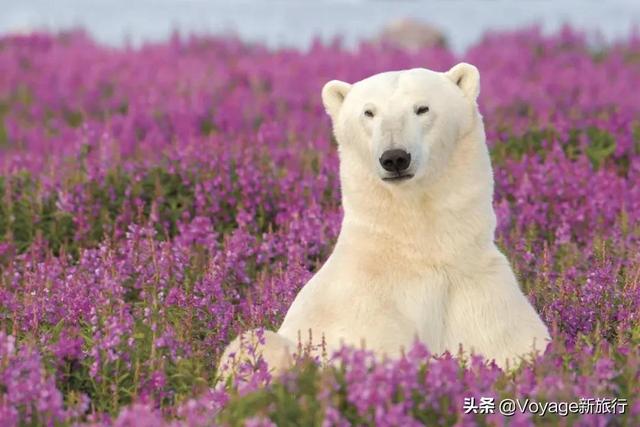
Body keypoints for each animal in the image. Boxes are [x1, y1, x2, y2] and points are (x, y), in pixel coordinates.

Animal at [221, 63, 552, 378]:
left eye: (422, 108)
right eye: (369, 112)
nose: (394, 158)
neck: (417, 252)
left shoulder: (481, 296)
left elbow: (517, 348)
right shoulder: (362, 313)